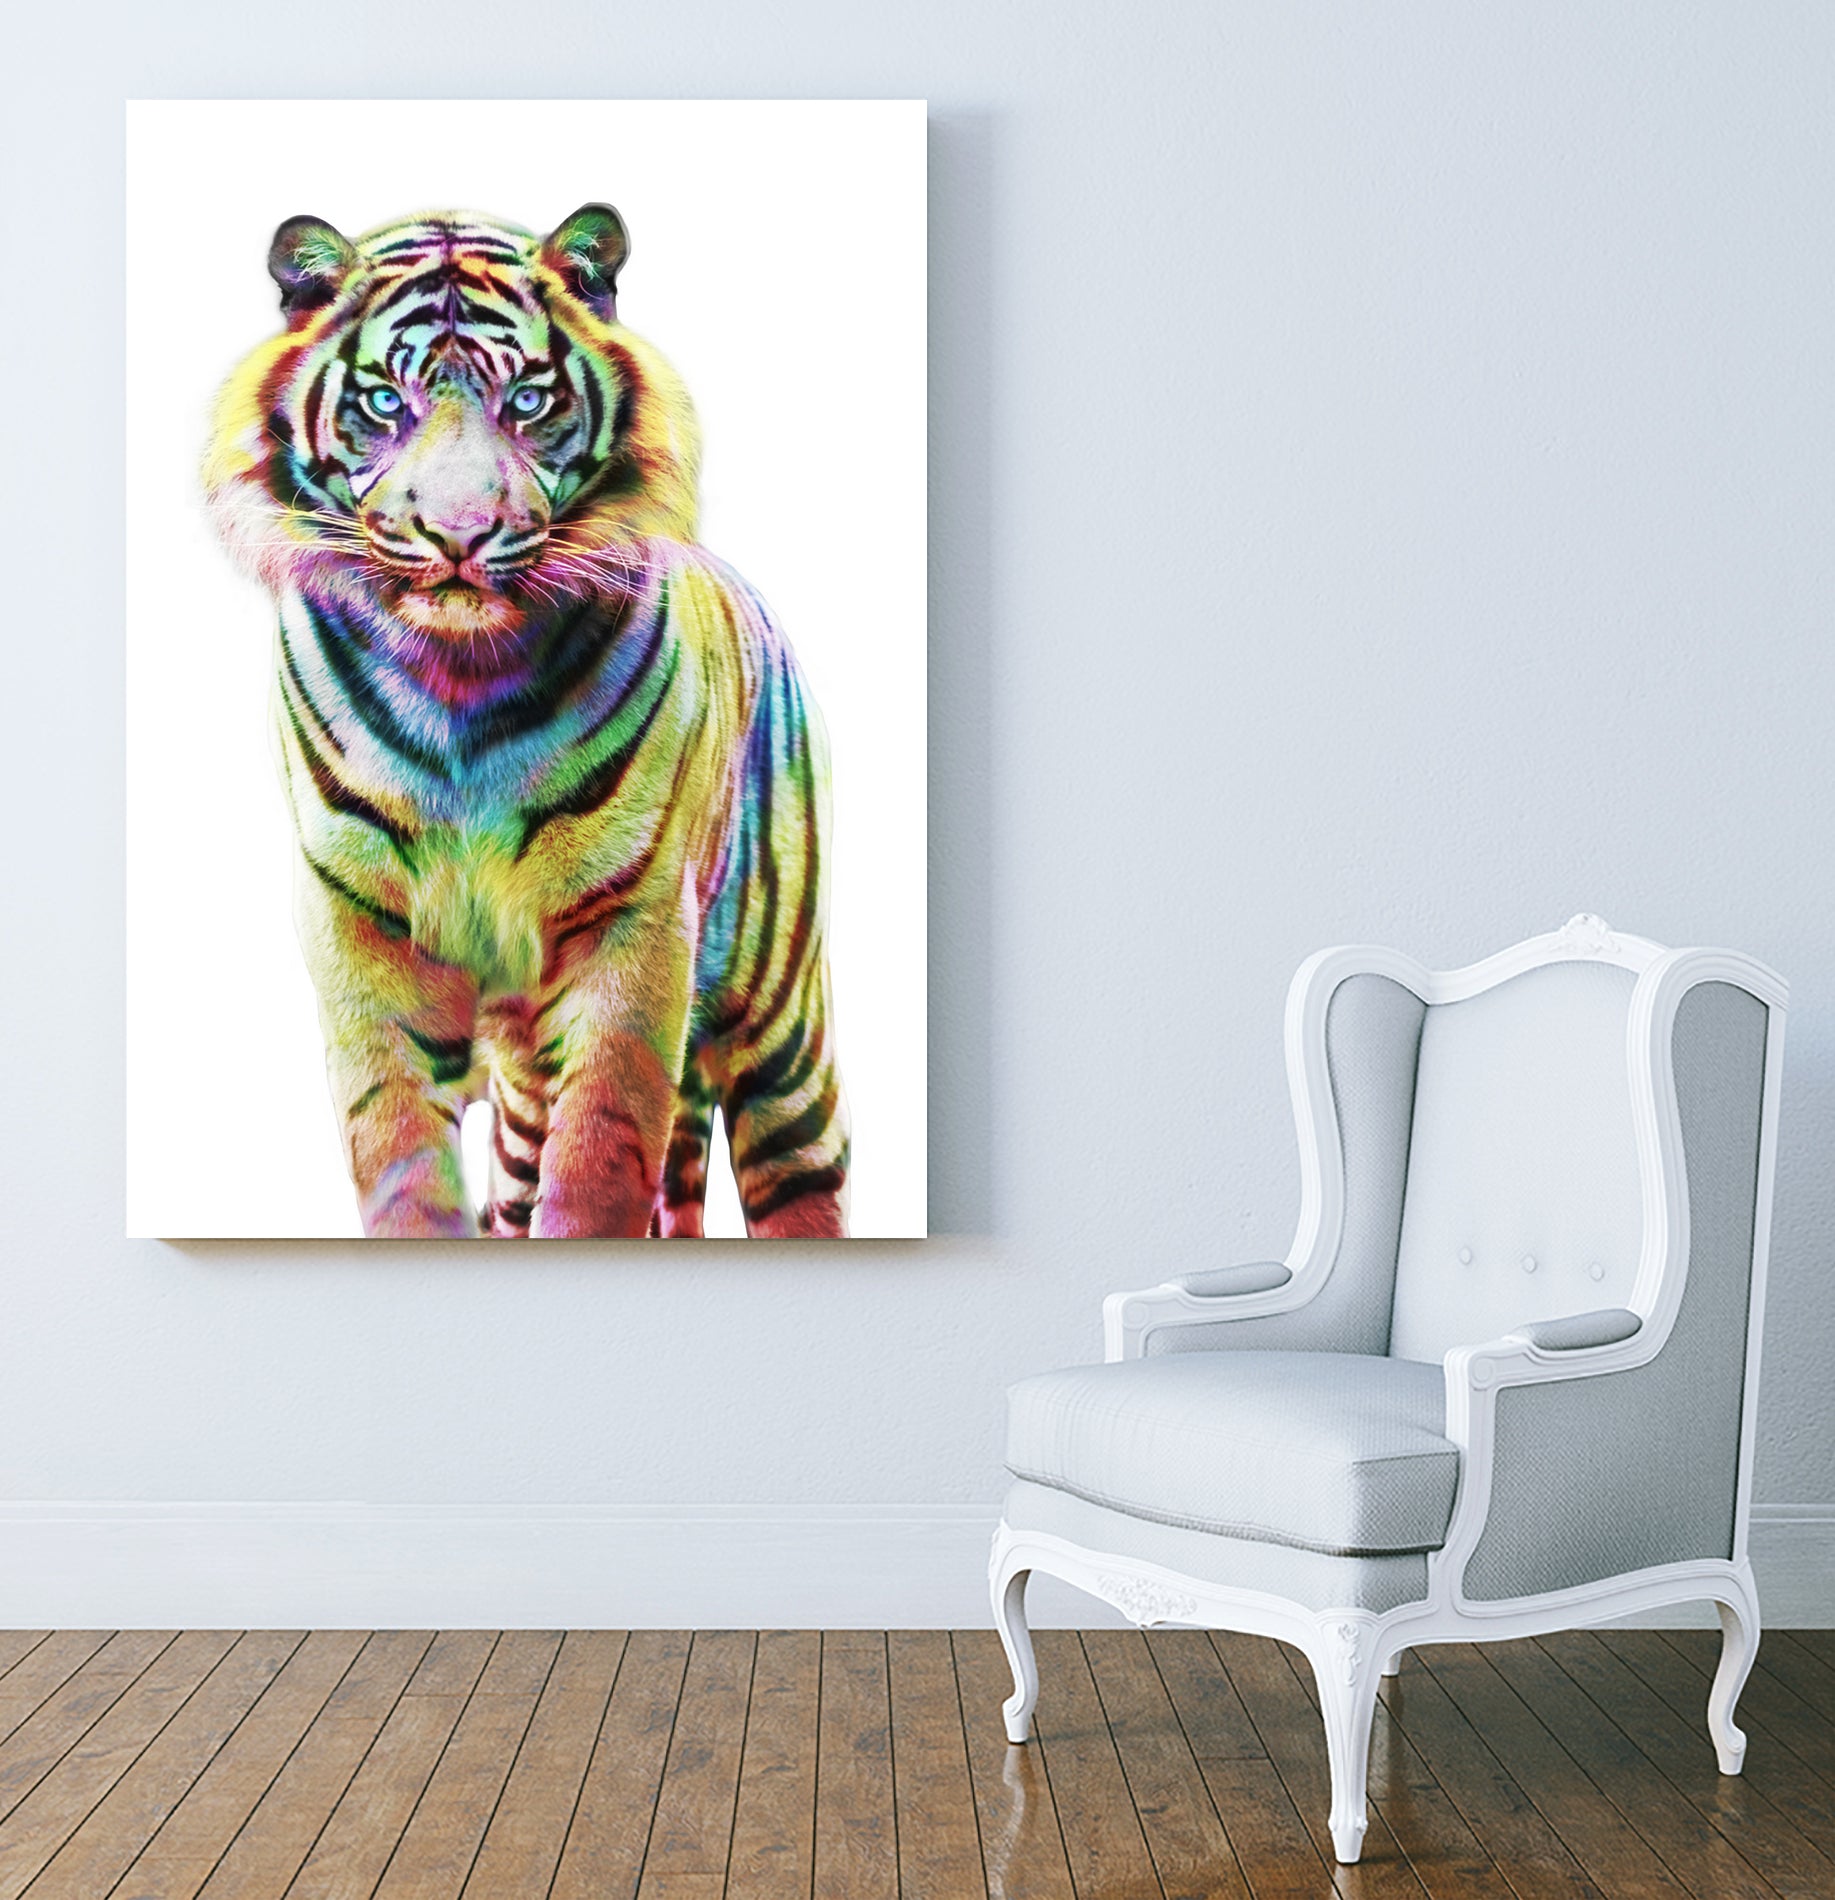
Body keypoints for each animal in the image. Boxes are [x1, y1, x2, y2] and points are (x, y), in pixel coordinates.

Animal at [203, 204, 850, 1239]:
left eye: (530, 401)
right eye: (383, 402)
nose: (459, 535)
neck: (457, 686)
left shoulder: (632, 926)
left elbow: (599, 1159)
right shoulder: (358, 925)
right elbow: (397, 1150)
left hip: (781, 1033)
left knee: (796, 1178)